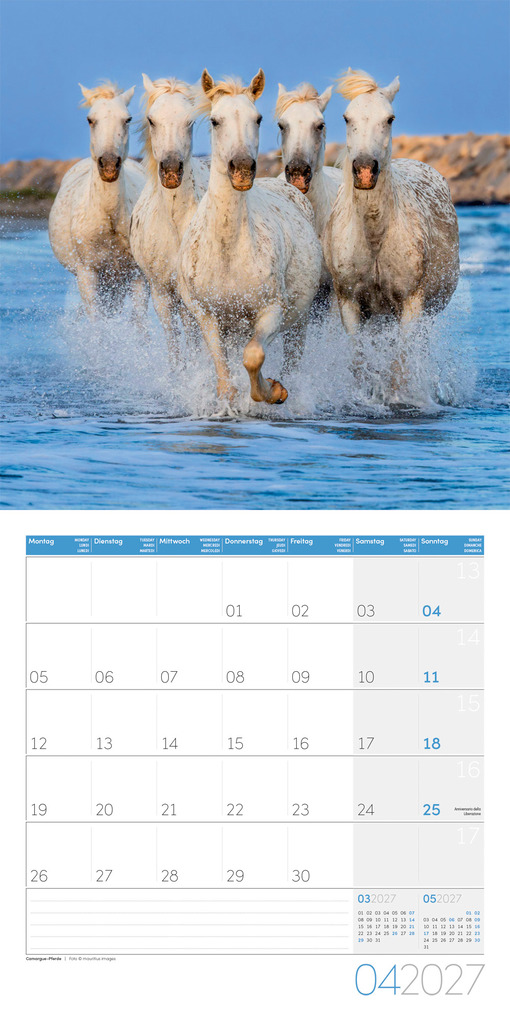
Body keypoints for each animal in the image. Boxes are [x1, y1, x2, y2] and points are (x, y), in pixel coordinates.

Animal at [48, 82, 148, 322]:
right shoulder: (88, 275)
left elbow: (140, 324)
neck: (109, 218)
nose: (109, 165)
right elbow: (96, 322)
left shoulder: (137, 276)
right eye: (90, 119)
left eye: (127, 119)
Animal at [177, 70, 322, 406]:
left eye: (257, 119)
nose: (242, 169)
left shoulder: (271, 311)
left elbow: (253, 356)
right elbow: (224, 375)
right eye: (215, 120)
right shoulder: (207, 315)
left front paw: (273, 392)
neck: (228, 251)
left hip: (300, 321)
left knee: (293, 357)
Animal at [322, 69, 459, 396]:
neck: (374, 234)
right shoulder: (350, 303)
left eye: (390, 118)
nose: (364, 170)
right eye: (346, 117)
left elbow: (402, 364)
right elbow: (359, 361)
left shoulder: (411, 303)